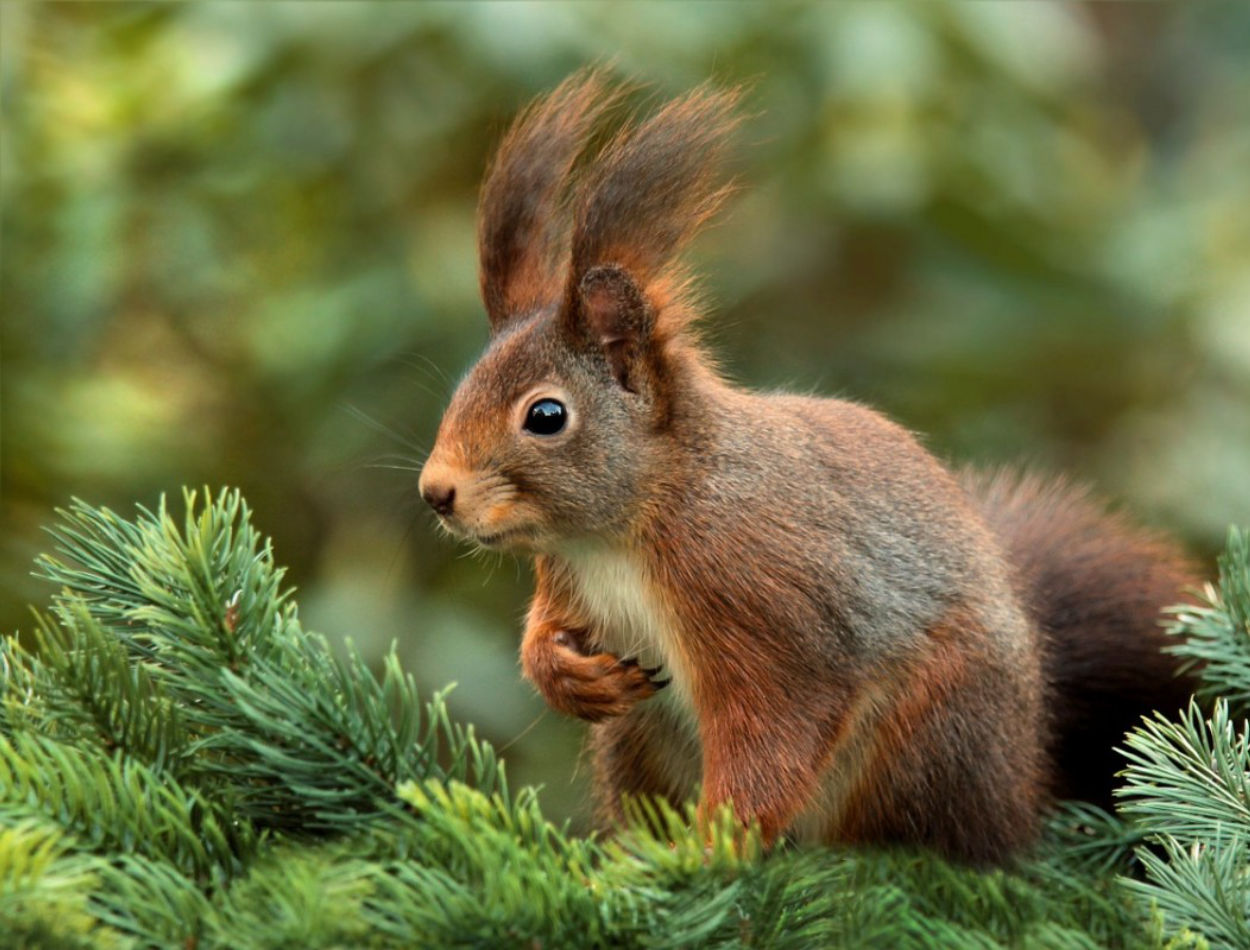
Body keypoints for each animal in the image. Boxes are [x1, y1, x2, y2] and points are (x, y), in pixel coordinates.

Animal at [422, 72, 1200, 860]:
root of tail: (1023, 780)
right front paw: (566, 676)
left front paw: (712, 851)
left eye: (546, 416)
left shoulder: (761, 600)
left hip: (930, 730)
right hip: (636, 741)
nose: (436, 492)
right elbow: (542, 634)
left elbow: (774, 732)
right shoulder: (568, 579)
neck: (624, 530)